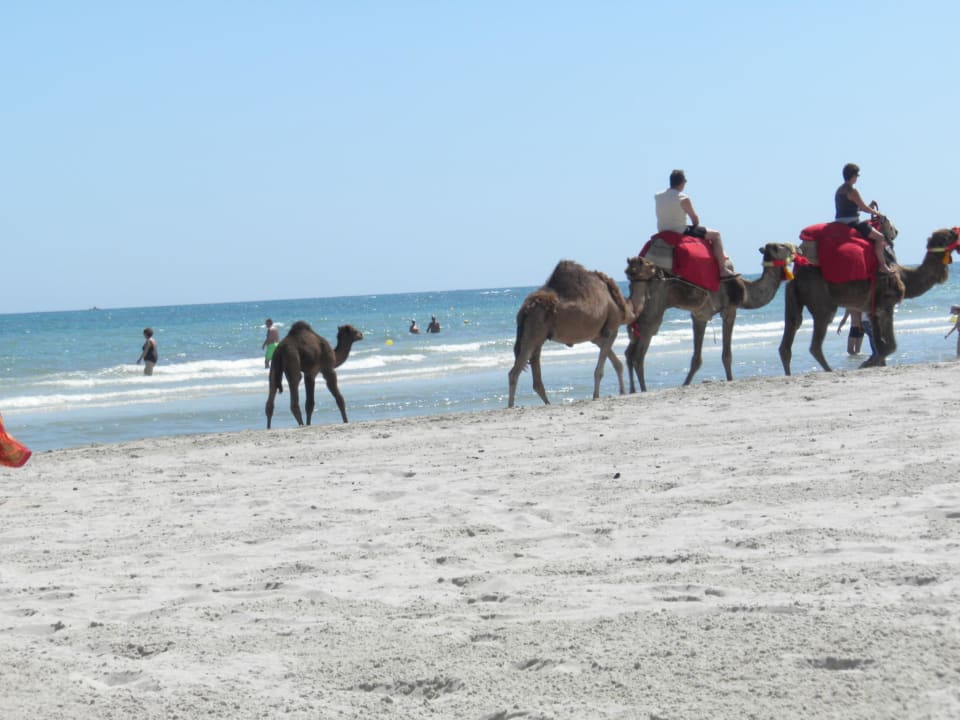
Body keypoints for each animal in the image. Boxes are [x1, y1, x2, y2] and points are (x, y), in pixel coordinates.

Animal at [507, 259, 642, 408]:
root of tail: (524, 310)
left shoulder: (596, 337)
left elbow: (617, 364)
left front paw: (622, 392)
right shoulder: (611, 329)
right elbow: (600, 370)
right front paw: (596, 396)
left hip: (538, 337)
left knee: (535, 374)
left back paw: (547, 403)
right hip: (533, 332)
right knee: (514, 372)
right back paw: (511, 406)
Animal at [624, 242, 798, 392]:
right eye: (780, 246)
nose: (795, 248)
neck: (746, 290)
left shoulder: (700, 316)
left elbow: (696, 359)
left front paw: (685, 384)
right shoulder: (730, 310)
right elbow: (727, 355)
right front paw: (730, 379)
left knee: (629, 353)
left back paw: (632, 390)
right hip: (653, 311)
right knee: (638, 355)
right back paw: (643, 390)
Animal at [779, 225, 960, 374]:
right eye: (948, 236)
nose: (956, 231)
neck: (905, 277)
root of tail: (796, 277)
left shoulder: (872, 309)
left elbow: (882, 345)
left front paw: (869, 363)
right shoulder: (885, 304)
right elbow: (890, 346)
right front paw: (866, 364)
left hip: (795, 300)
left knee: (790, 335)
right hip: (820, 300)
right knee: (815, 341)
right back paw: (830, 370)